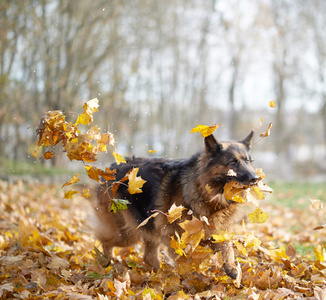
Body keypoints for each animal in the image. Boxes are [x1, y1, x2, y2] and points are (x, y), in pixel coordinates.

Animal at [91, 131, 258, 278]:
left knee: (149, 257)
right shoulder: (174, 237)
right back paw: (109, 264)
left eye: (247, 161)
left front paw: (231, 267)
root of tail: (111, 168)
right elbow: (183, 259)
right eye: (232, 162)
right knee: (103, 240)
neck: (205, 192)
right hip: (128, 233)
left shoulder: (216, 232)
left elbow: (227, 247)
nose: (255, 178)